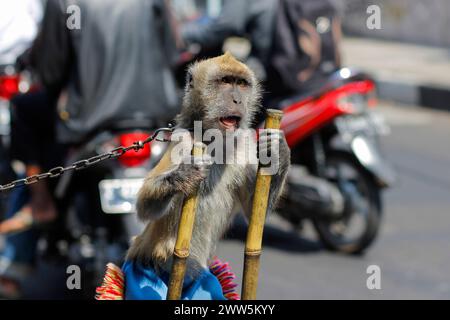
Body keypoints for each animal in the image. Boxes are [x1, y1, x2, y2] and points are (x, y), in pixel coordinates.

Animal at [125, 52, 290, 282]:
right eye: (226, 81)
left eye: (241, 84)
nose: (237, 99)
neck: (213, 140)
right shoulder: (184, 141)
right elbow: (144, 206)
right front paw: (184, 175)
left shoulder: (245, 144)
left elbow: (254, 213)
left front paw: (277, 150)